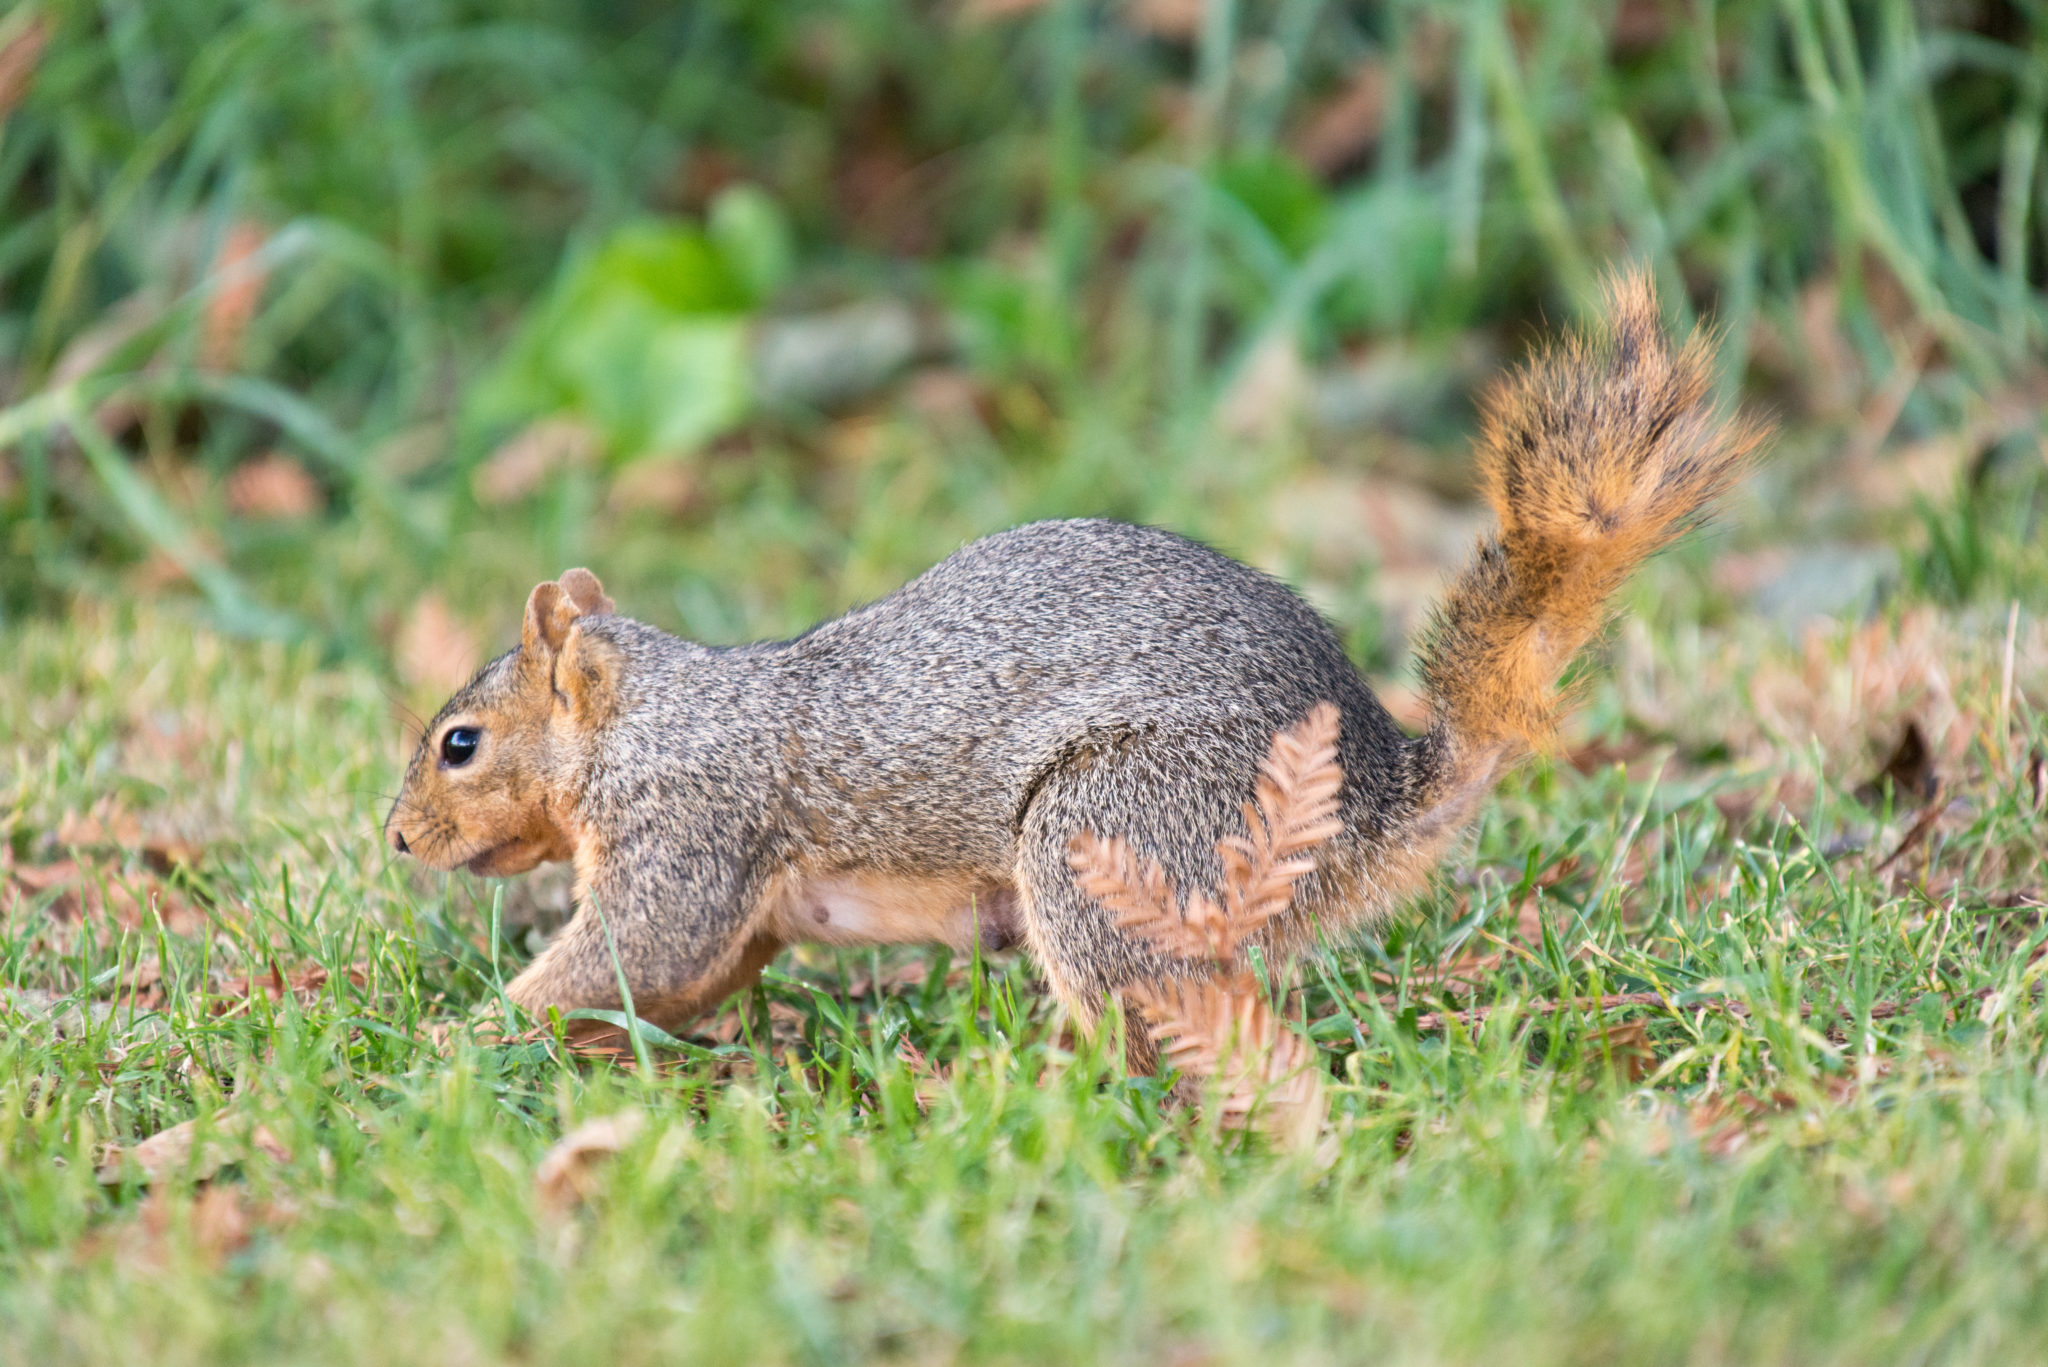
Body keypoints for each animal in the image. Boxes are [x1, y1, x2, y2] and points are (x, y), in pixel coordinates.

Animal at [387, 272, 1761, 1057]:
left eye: (460, 742)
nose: (395, 838)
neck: (649, 717)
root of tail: (1370, 800)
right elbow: (677, 978)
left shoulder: (688, 826)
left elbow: (637, 945)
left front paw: (455, 1040)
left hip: (1115, 827)